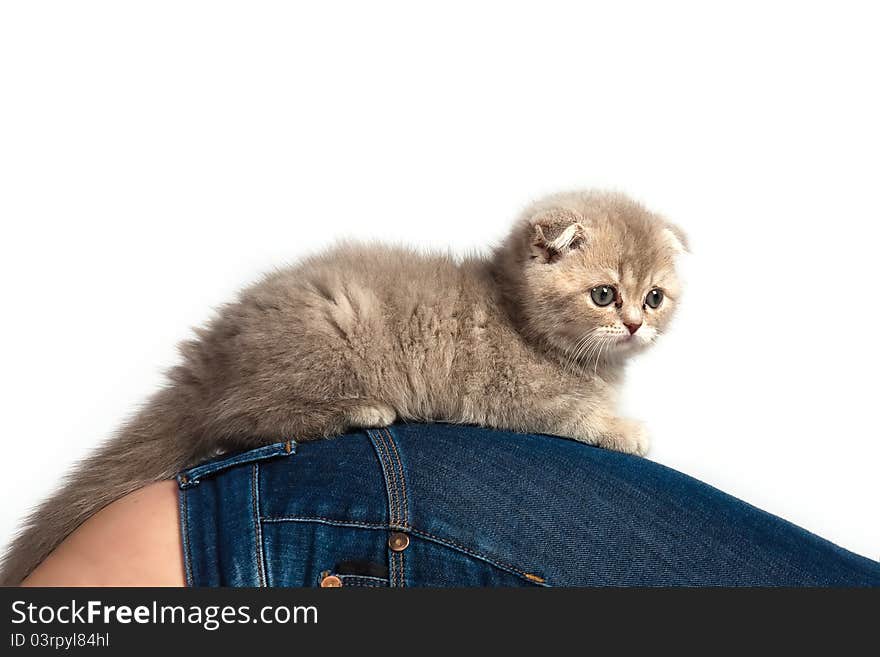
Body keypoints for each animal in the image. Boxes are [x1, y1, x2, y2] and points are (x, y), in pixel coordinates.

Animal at [0, 190, 688, 584]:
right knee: (240, 418)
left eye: (655, 297)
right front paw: (626, 430)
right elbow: (573, 415)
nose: (635, 324)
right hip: (320, 343)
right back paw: (365, 408)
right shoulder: (513, 393)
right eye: (604, 294)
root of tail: (215, 350)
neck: (519, 315)